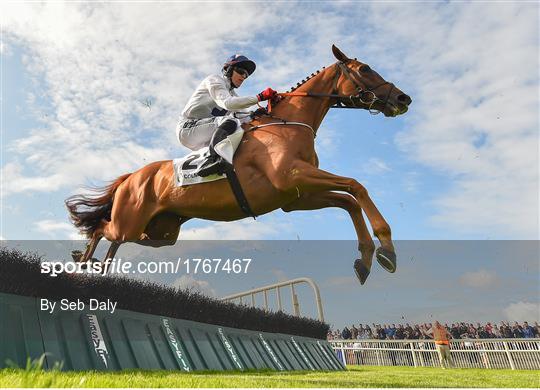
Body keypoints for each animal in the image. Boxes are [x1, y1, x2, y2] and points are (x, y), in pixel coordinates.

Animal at [65, 45, 412, 284]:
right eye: (365, 68)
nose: (403, 99)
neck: (289, 123)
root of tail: (131, 178)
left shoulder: (296, 197)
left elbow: (349, 202)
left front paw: (367, 258)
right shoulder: (293, 177)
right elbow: (356, 185)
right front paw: (386, 247)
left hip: (159, 232)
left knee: (113, 239)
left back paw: (98, 267)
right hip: (130, 221)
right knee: (101, 227)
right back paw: (82, 260)